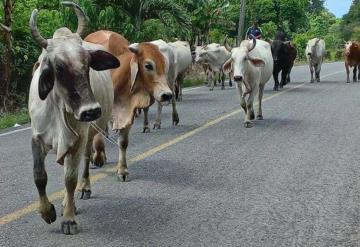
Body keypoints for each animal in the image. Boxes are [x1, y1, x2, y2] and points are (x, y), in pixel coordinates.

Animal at [86, 30, 173, 181]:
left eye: (164, 64)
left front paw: (122, 170)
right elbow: (97, 138)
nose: (167, 95)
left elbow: (123, 142)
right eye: (148, 65)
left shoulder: (127, 112)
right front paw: (96, 158)